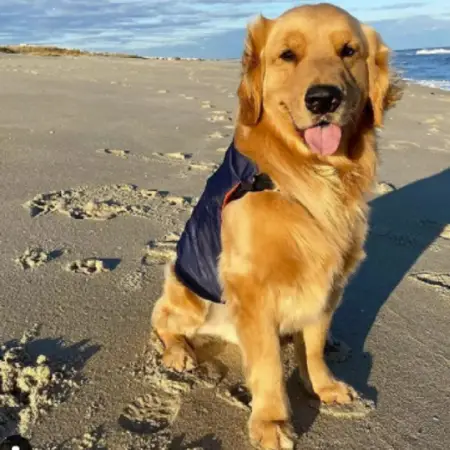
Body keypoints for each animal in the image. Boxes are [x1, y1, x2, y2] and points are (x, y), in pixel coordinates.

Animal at [151, 2, 400, 446]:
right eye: (287, 55)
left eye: (348, 51)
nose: (323, 99)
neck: (312, 176)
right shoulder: (251, 287)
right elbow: (266, 363)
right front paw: (271, 422)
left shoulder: (329, 280)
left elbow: (313, 344)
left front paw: (322, 386)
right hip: (188, 293)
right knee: (161, 319)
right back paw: (178, 351)